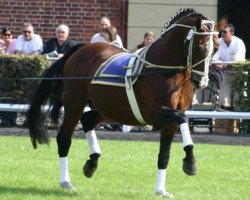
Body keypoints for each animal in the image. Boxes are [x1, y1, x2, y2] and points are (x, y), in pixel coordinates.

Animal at [27, 8, 219, 198]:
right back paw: (66, 182)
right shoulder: (157, 115)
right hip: (75, 104)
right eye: (200, 46)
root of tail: (81, 49)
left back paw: (92, 162)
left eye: (216, 48)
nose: (202, 82)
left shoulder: (169, 122)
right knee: (64, 137)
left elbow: (164, 154)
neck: (164, 69)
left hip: (109, 109)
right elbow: (183, 118)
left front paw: (161, 190)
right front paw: (190, 162)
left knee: (88, 119)